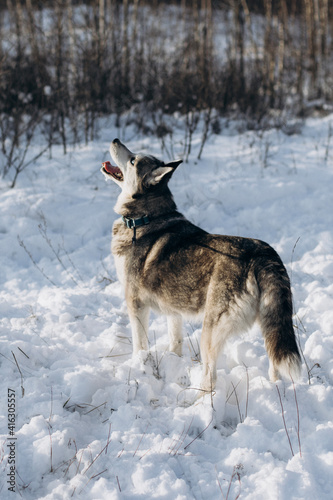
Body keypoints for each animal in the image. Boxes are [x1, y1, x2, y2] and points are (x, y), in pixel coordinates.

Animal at [100, 140, 300, 394]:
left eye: (133, 159)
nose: (115, 140)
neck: (145, 218)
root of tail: (262, 254)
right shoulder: (173, 311)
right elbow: (175, 341)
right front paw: (173, 364)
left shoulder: (136, 304)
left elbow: (140, 345)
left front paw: (138, 367)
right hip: (269, 325)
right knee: (275, 365)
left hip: (210, 331)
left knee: (210, 377)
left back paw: (194, 400)